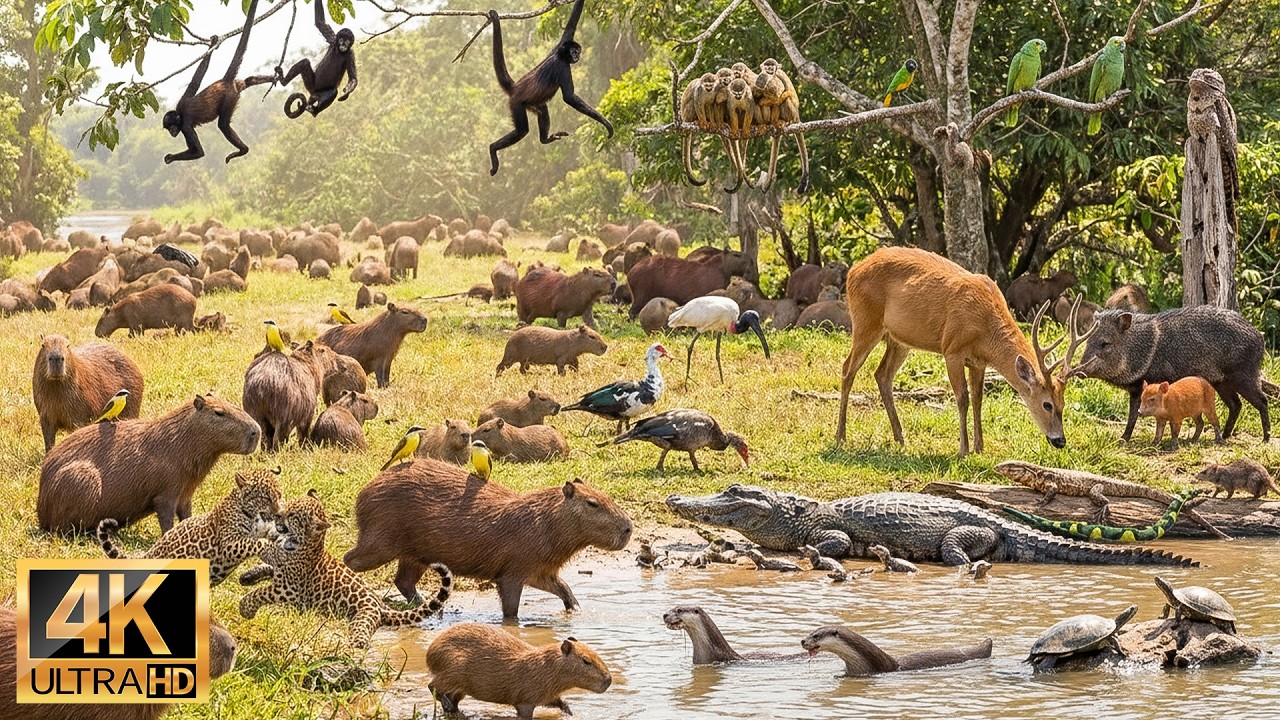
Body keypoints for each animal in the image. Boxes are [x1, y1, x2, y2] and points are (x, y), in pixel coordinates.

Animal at [97, 467, 283, 587]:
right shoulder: (229, 543)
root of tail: (148, 555)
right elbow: (253, 543)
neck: (254, 515)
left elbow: (266, 535)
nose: (279, 512)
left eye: (279, 494)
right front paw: (269, 547)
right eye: (266, 498)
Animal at [237, 490, 453, 650]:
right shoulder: (280, 566)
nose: (276, 515)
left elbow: (262, 591)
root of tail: (382, 606)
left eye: (292, 515)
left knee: (360, 640)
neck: (308, 544)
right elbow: (268, 562)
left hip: (362, 618)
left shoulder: (288, 588)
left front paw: (246, 607)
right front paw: (247, 576)